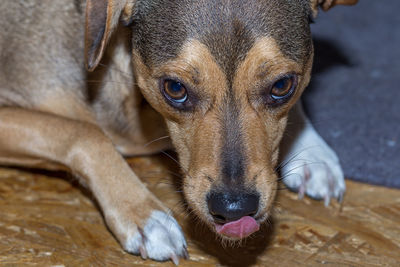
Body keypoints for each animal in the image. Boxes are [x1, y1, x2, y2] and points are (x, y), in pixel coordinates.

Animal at [0, 0, 356, 264]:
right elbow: (86, 134)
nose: (234, 208)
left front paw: (314, 154)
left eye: (282, 85)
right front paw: (145, 213)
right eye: (174, 88)